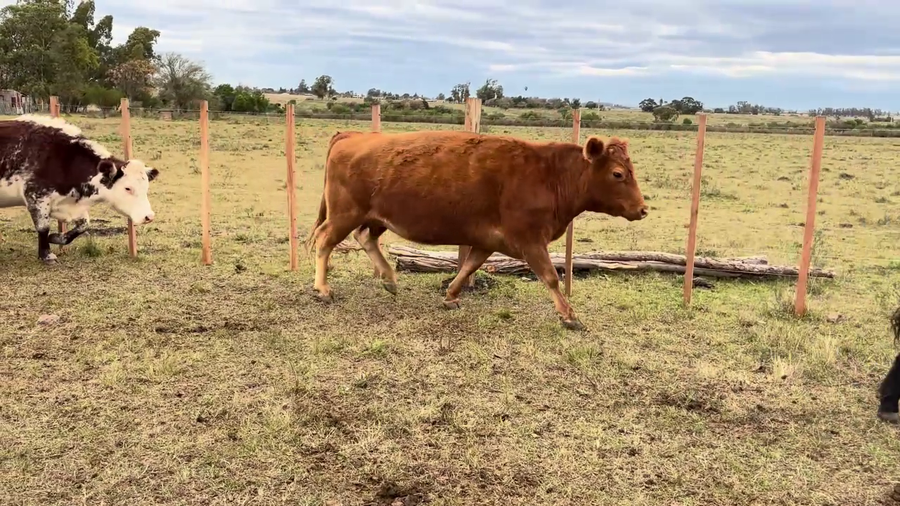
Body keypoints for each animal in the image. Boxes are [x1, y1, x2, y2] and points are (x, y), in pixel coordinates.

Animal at [0, 114, 159, 264]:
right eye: (128, 188)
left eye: (146, 188)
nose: (149, 217)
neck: (64, 159)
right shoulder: (36, 197)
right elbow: (43, 228)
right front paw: (46, 255)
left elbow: (84, 225)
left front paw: (56, 237)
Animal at [304, 129, 648, 330]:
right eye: (618, 174)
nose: (642, 209)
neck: (548, 175)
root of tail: (353, 135)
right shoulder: (530, 241)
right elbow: (551, 277)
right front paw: (569, 315)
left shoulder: (488, 241)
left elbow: (469, 266)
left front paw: (451, 296)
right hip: (345, 214)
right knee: (325, 241)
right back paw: (322, 289)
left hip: (374, 218)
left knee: (365, 238)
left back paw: (389, 278)